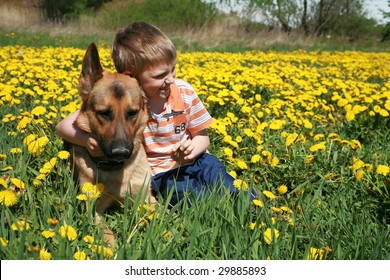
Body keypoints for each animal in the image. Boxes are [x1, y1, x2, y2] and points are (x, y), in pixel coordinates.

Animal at [69, 42, 156, 246]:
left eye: (132, 113)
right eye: (104, 113)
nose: (120, 152)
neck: (117, 172)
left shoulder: (148, 199)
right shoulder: (92, 210)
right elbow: (107, 234)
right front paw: (116, 248)